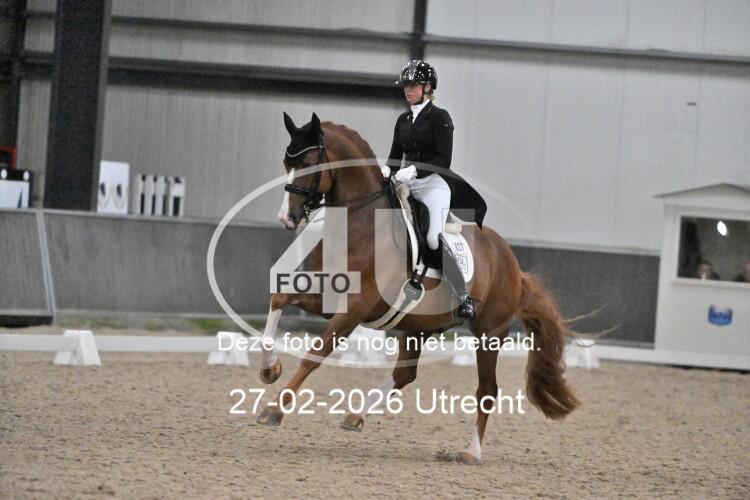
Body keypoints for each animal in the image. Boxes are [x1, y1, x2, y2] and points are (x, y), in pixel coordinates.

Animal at [256, 112, 580, 464]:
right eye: (286, 162)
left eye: (309, 164)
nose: (286, 218)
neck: (358, 226)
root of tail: (514, 265)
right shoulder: (326, 297)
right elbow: (279, 299)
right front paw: (270, 370)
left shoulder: (353, 310)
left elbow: (314, 356)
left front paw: (275, 409)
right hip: (417, 326)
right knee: (405, 375)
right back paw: (356, 416)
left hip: (489, 333)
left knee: (487, 390)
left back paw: (472, 451)